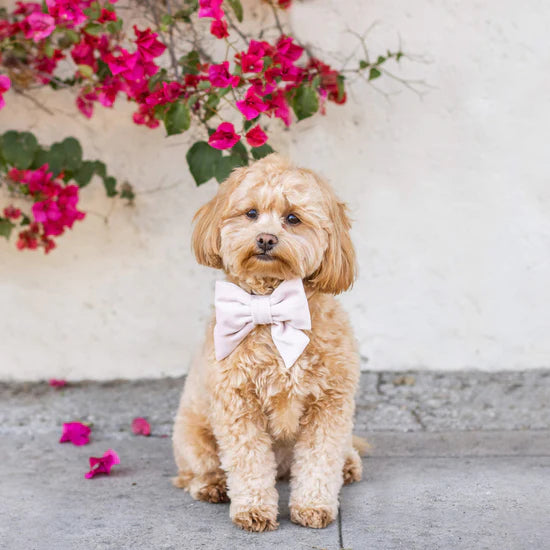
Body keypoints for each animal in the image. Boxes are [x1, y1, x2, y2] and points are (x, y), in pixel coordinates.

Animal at [172, 153, 362, 532]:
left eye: (293, 218)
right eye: (251, 213)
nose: (265, 239)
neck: (271, 307)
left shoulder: (330, 405)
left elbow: (321, 458)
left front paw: (313, 506)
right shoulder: (237, 405)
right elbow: (249, 462)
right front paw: (253, 510)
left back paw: (348, 464)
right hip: (191, 434)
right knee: (197, 471)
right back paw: (212, 485)